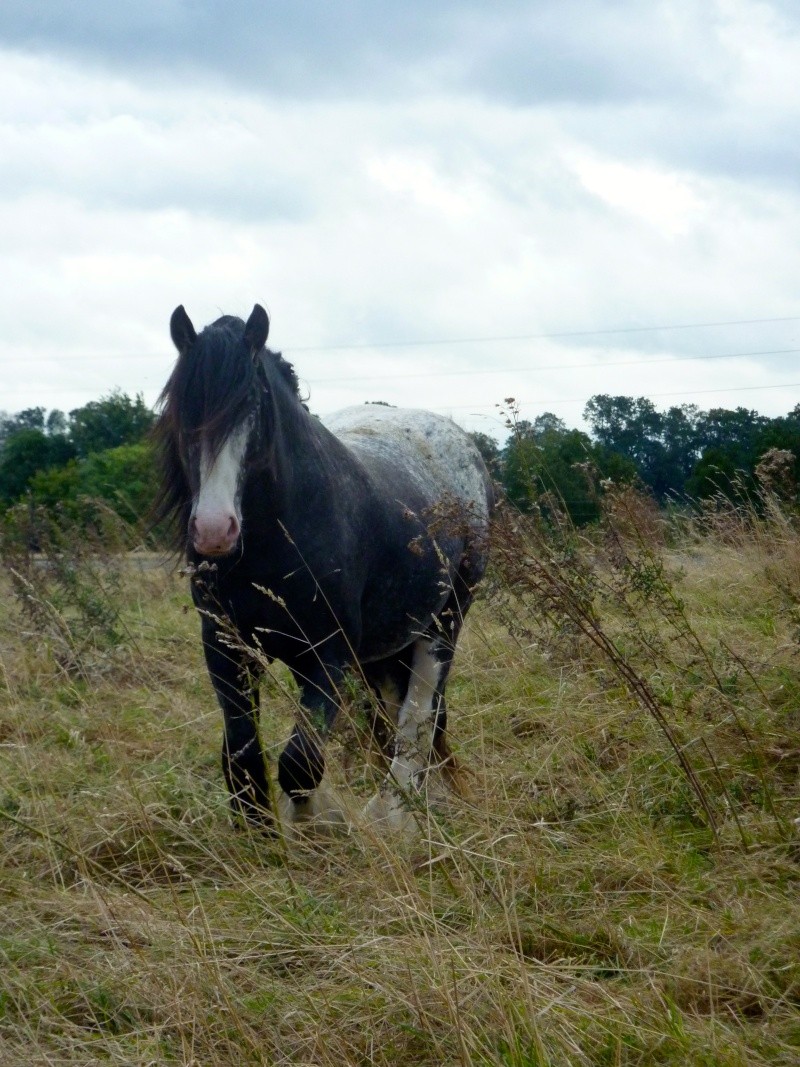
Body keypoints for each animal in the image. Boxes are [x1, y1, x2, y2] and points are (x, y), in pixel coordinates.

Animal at [154, 303, 494, 832]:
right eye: (181, 409)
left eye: (255, 406)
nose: (213, 531)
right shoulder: (227, 651)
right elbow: (242, 760)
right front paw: (262, 838)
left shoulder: (327, 656)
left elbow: (300, 763)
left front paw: (315, 826)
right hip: (380, 648)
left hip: (443, 623)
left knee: (417, 715)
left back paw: (392, 817)